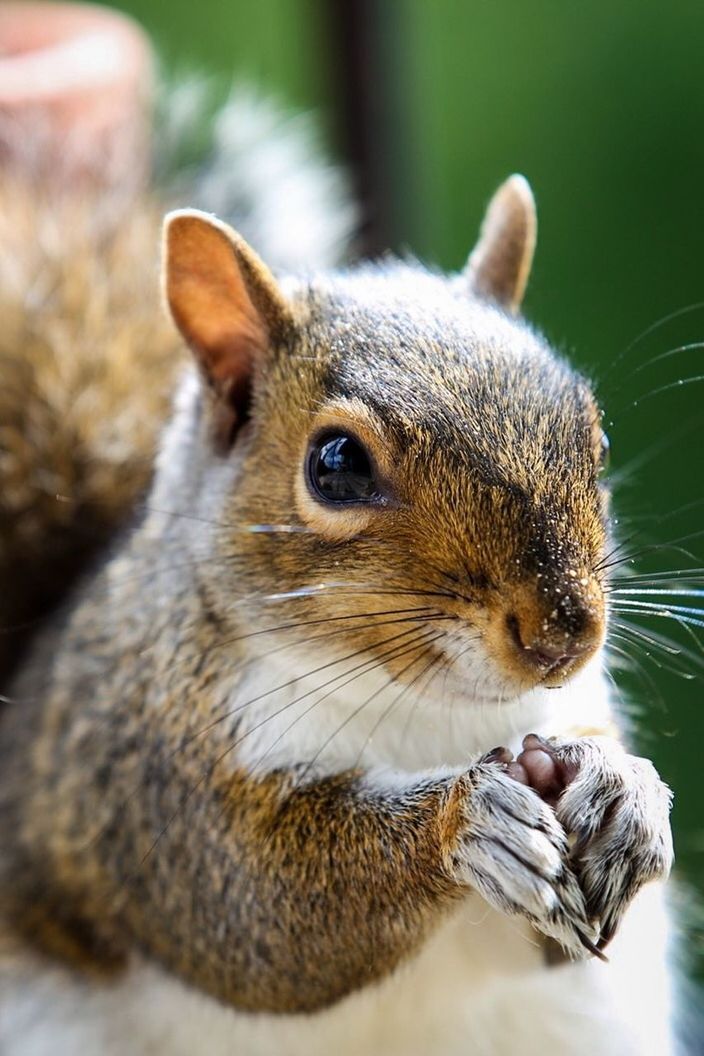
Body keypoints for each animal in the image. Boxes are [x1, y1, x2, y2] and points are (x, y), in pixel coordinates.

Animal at [0, 158, 679, 1056]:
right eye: (336, 465)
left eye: (594, 442)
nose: (565, 634)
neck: (419, 706)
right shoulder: (149, 772)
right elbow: (255, 908)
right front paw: (468, 820)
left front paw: (624, 792)